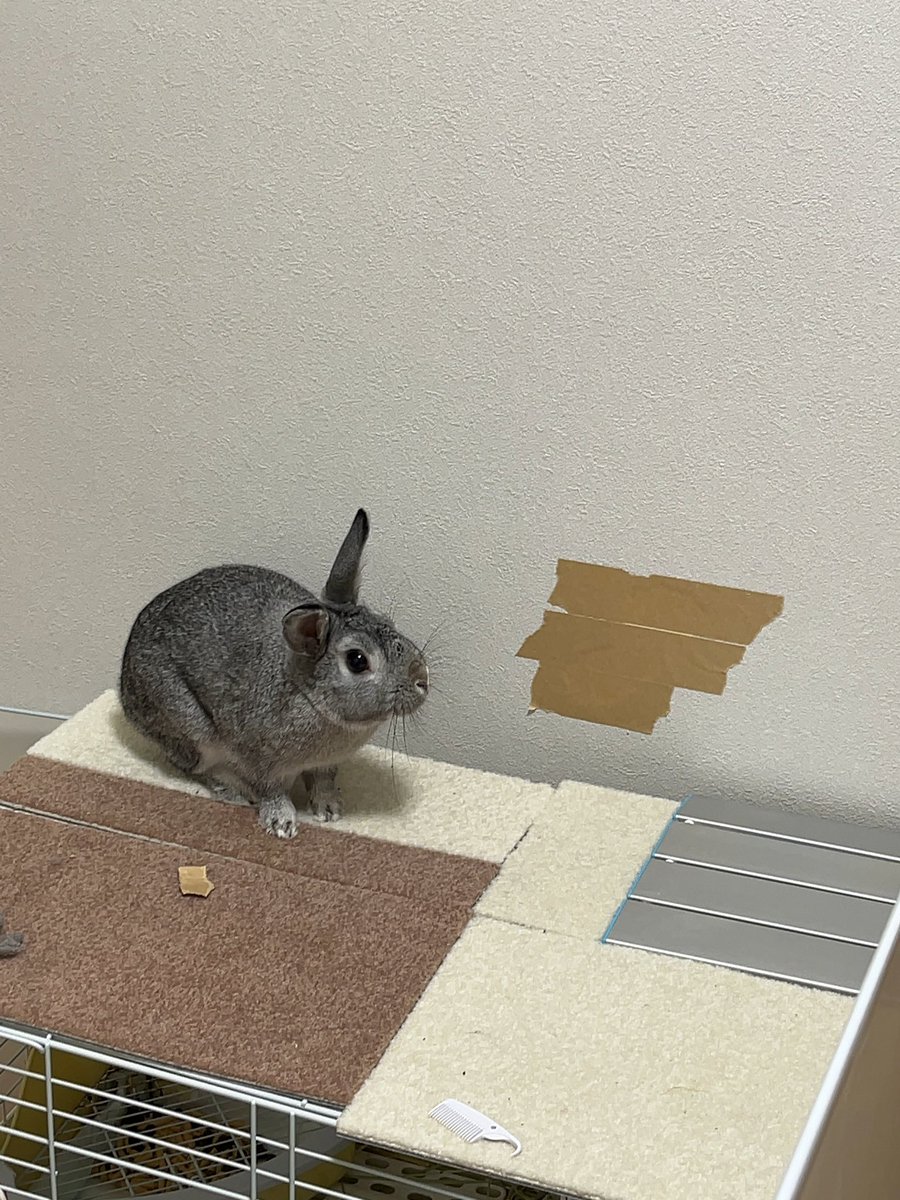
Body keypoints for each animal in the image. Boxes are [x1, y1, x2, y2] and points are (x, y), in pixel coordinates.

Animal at [119, 509, 429, 838]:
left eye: (388, 623)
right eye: (357, 660)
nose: (422, 679)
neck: (310, 695)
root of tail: (124, 689)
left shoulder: (326, 764)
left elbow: (323, 780)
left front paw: (329, 809)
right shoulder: (257, 759)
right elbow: (271, 790)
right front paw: (282, 824)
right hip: (191, 728)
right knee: (192, 765)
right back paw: (234, 792)